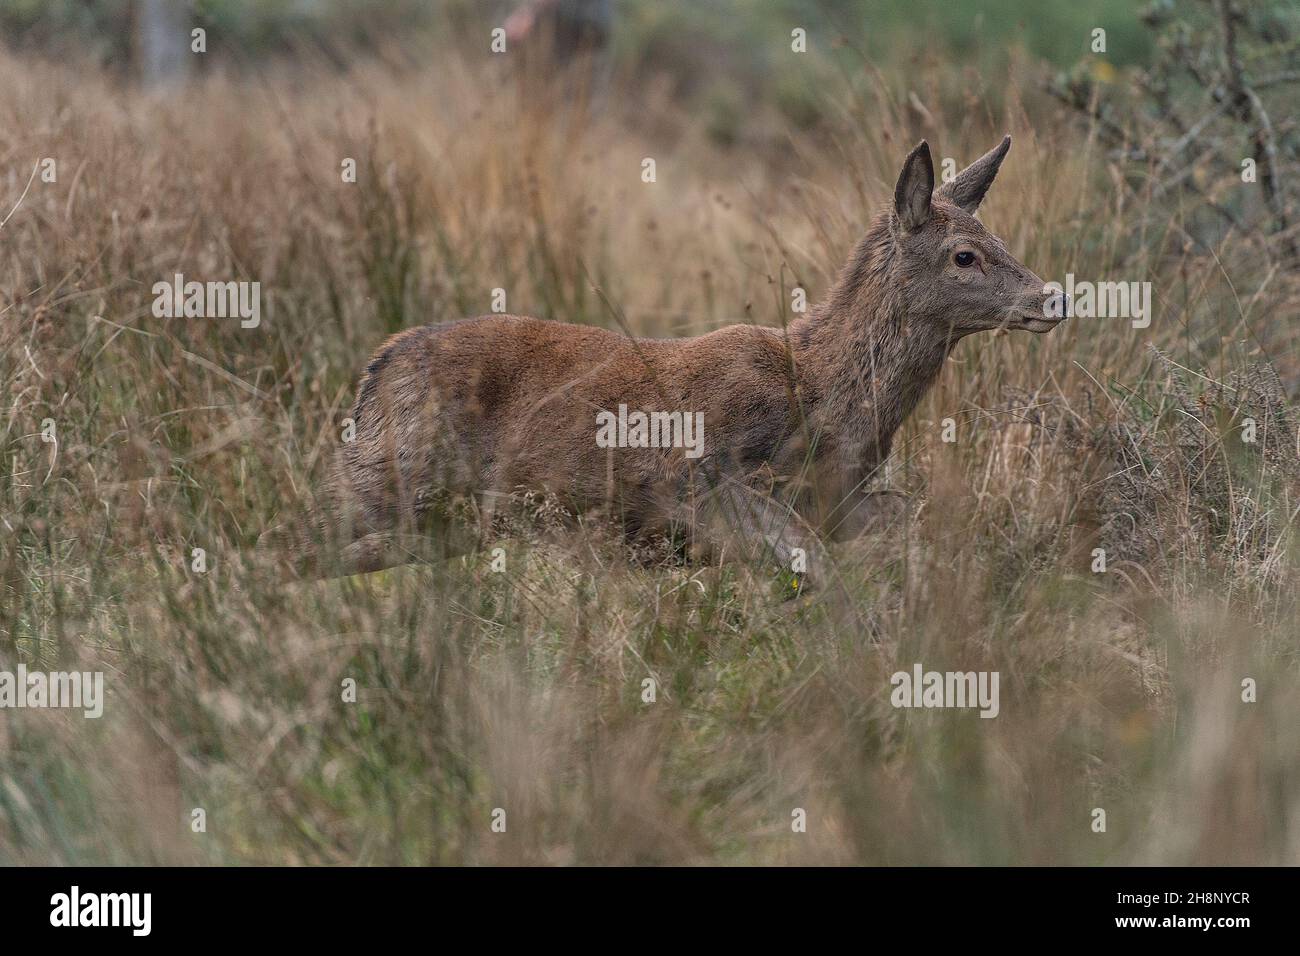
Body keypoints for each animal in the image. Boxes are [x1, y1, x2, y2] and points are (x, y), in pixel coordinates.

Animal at [262, 136, 1067, 583]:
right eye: (964, 255)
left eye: (998, 239)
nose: (1053, 295)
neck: (823, 397)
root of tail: (376, 369)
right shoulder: (708, 476)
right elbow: (817, 574)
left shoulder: (838, 501)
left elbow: (911, 527)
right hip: (388, 476)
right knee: (278, 542)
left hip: (433, 519)